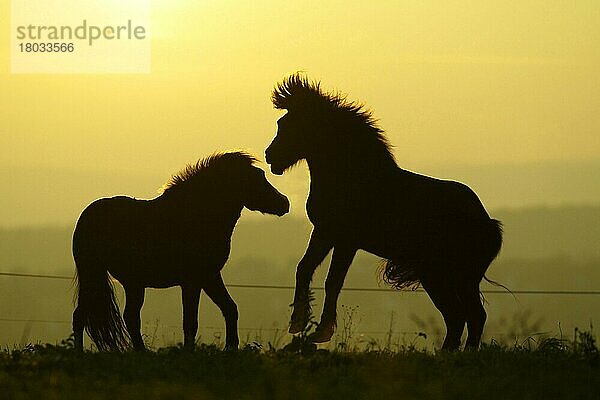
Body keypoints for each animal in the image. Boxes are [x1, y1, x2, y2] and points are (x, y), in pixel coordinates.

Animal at [72, 152, 288, 352]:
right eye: (256, 178)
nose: (284, 203)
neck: (196, 215)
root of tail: (86, 216)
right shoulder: (194, 280)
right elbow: (191, 321)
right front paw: (190, 351)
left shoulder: (208, 276)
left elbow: (229, 309)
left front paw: (231, 347)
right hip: (96, 276)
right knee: (84, 316)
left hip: (131, 283)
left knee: (124, 317)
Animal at [264, 76, 504, 350]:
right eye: (281, 123)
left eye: (292, 124)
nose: (270, 156)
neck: (352, 178)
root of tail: (487, 221)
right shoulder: (324, 232)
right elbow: (304, 268)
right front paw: (298, 322)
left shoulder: (346, 241)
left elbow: (333, 281)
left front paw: (321, 331)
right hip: (439, 276)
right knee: (458, 316)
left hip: (452, 276)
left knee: (471, 315)